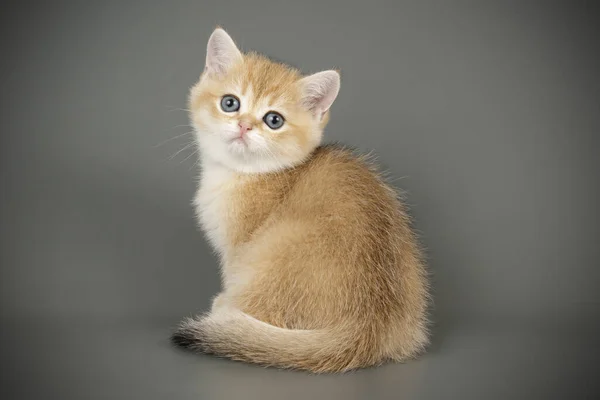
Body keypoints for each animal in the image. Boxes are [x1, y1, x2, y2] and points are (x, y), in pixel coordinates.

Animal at [171, 27, 428, 372]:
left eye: (274, 120)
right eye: (230, 103)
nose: (244, 125)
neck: (246, 173)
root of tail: (368, 326)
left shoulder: (236, 248)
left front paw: (226, 302)